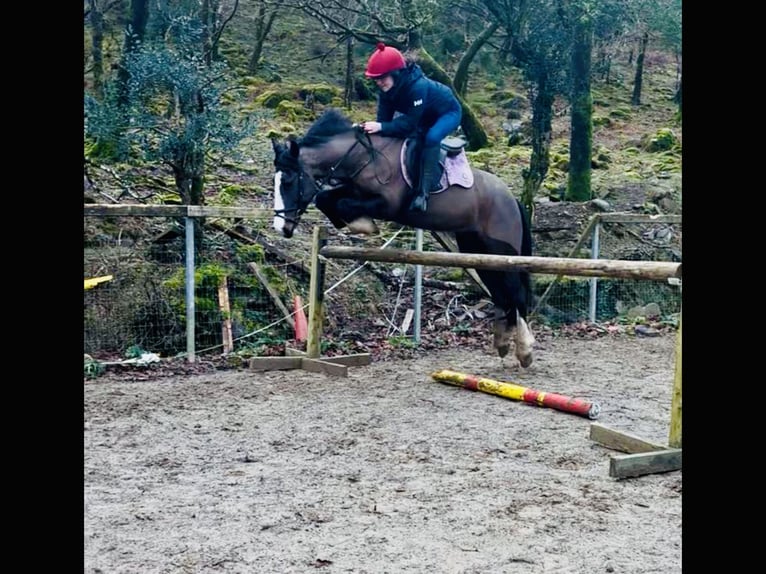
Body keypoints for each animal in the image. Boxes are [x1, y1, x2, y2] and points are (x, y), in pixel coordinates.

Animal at [270, 108, 535, 367]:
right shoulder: (352, 190)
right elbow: (325, 199)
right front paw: (358, 224)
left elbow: (339, 202)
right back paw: (503, 344)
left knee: (516, 295)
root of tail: (511, 199)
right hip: (477, 250)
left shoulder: (388, 204)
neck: (363, 157)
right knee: (501, 294)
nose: (280, 227)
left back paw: (525, 351)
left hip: (502, 250)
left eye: (289, 181)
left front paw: (364, 225)